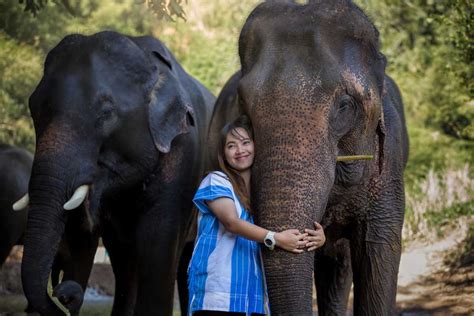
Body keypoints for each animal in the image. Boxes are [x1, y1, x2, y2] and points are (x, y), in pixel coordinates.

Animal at [19, 30, 215, 314]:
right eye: (34, 109)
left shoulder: (183, 156)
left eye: (105, 114)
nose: (63, 292)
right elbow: (104, 246)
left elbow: (158, 246)